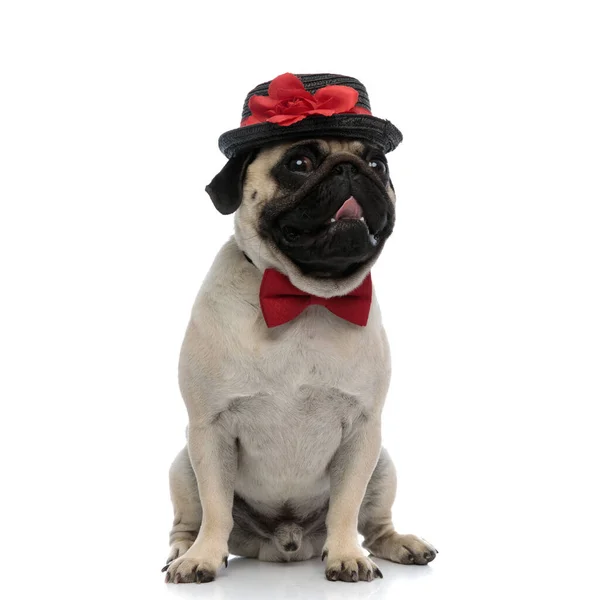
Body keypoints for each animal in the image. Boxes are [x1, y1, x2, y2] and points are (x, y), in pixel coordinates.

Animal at [162, 135, 438, 580]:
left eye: (378, 164)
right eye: (299, 163)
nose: (350, 168)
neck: (304, 296)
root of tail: (286, 543)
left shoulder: (363, 433)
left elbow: (345, 507)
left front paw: (346, 555)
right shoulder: (210, 430)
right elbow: (216, 507)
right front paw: (203, 557)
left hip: (382, 466)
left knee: (375, 525)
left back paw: (402, 544)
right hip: (183, 465)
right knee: (190, 520)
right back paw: (183, 551)